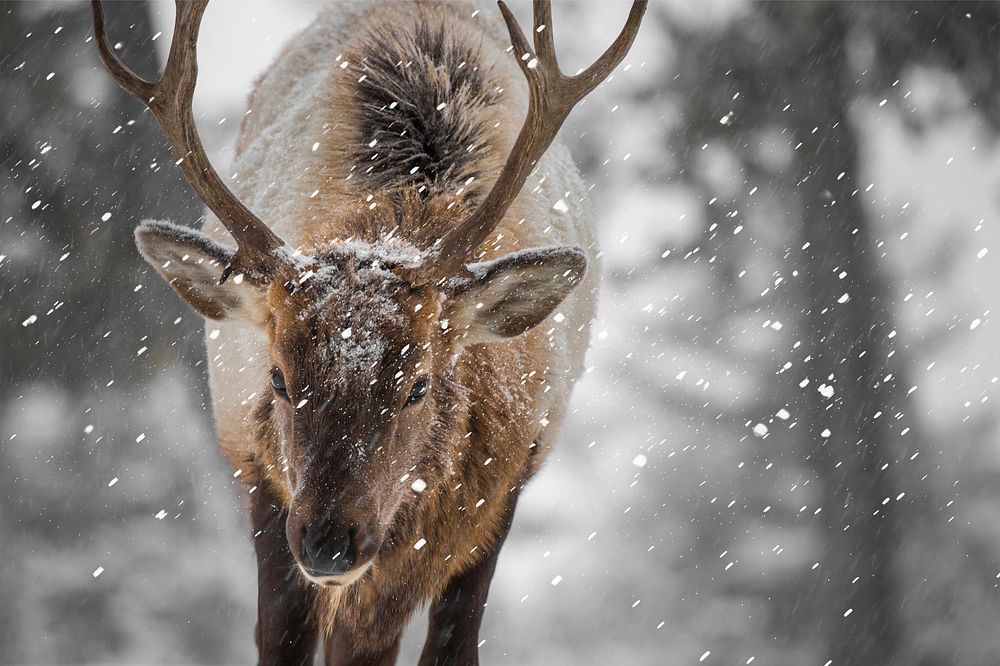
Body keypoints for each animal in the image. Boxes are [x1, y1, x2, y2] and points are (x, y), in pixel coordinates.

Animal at [92, 0, 640, 660]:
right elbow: (281, 640)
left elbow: (449, 646)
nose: (330, 545)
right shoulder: (262, 479)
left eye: (418, 386)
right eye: (277, 378)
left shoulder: (502, 489)